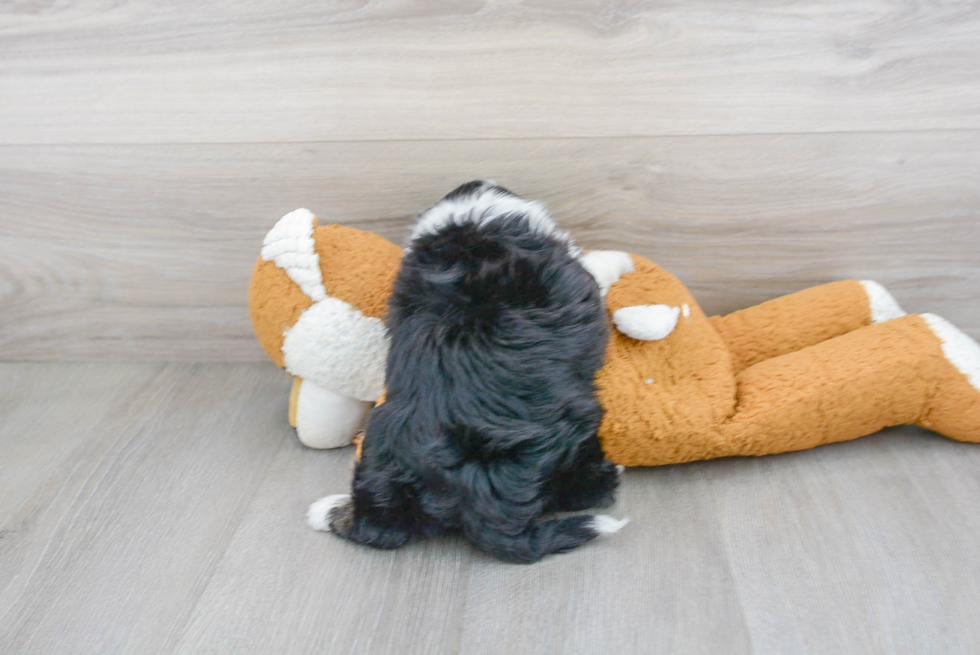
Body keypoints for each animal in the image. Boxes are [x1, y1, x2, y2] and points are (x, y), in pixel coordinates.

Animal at [308, 179, 628, 564]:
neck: (469, 234)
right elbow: (596, 269)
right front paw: (618, 259)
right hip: (574, 437)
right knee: (584, 486)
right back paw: (608, 476)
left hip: (380, 454)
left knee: (376, 529)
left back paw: (327, 510)